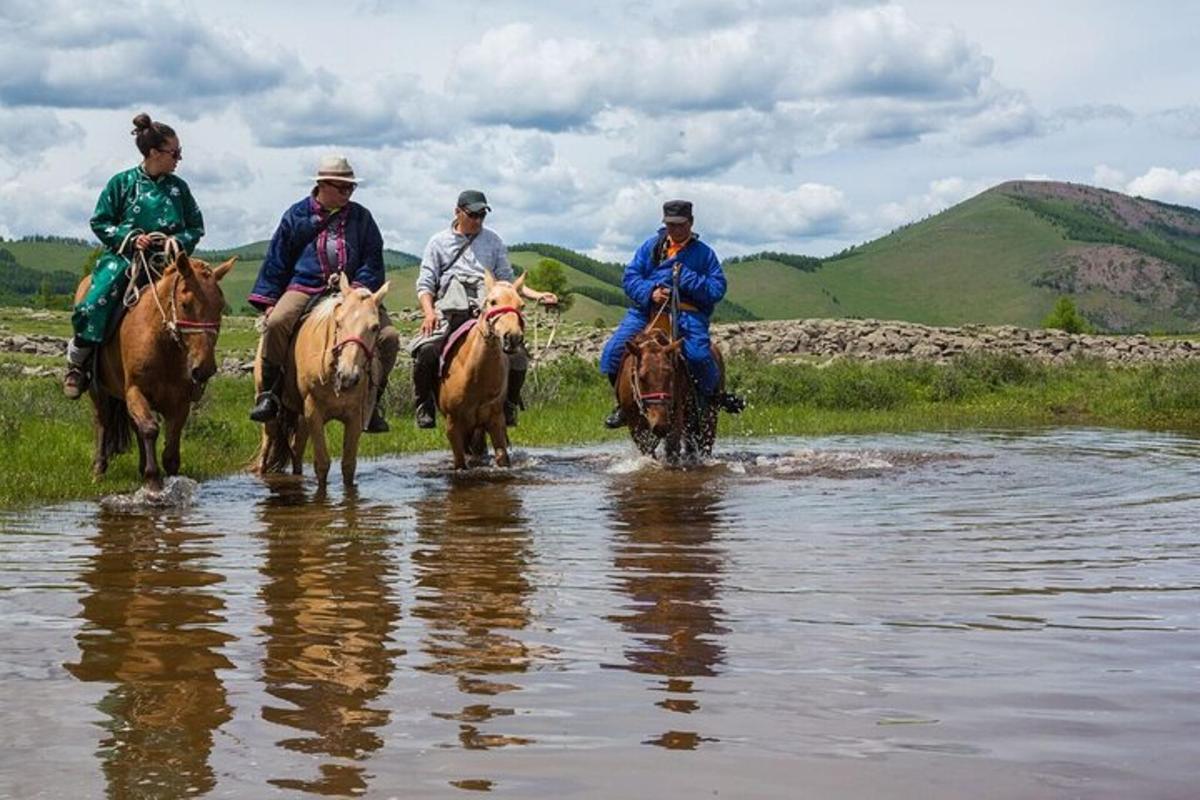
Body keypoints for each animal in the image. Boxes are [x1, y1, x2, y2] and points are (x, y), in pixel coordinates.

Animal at [75, 250, 236, 491]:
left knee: (134, 426)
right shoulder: (135, 391)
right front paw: (152, 480)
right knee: (102, 423)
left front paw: (169, 479)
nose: (204, 368)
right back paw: (99, 471)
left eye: (220, 306)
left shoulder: (179, 402)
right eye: (185, 304)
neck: (163, 345)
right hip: (98, 391)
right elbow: (150, 429)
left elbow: (170, 449)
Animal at [255, 272, 391, 489]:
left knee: (297, 451)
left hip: (300, 417)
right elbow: (322, 464)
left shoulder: (354, 416)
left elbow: (348, 465)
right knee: (266, 450)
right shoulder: (314, 412)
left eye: (375, 327)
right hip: (272, 416)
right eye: (339, 322)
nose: (347, 376)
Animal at [434, 271, 523, 470]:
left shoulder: (495, 421)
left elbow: (501, 456)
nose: (513, 338)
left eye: (521, 305)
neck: (474, 377)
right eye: (493, 302)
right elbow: (460, 462)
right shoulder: (453, 426)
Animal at [614, 321, 724, 462]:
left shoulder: (674, 419)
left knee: (705, 444)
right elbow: (648, 451)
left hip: (709, 416)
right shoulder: (635, 426)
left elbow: (672, 450)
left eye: (671, 374)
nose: (660, 425)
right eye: (641, 377)